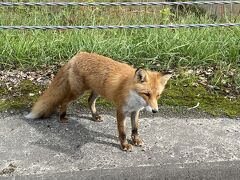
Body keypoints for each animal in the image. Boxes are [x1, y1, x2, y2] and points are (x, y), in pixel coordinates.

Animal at [25, 51, 171, 150]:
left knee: (90, 101)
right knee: (64, 101)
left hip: (97, 91)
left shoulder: (135, 111)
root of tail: (78, 54)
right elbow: (122, 132)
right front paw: (124, 145)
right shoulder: (120, 111)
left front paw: (136, 140)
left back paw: (95, 116)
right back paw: (62, 117)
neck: (133, 96)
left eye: (158, 95)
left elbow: (135, 129)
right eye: (147, 94)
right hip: (78, 92)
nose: (155, 111)